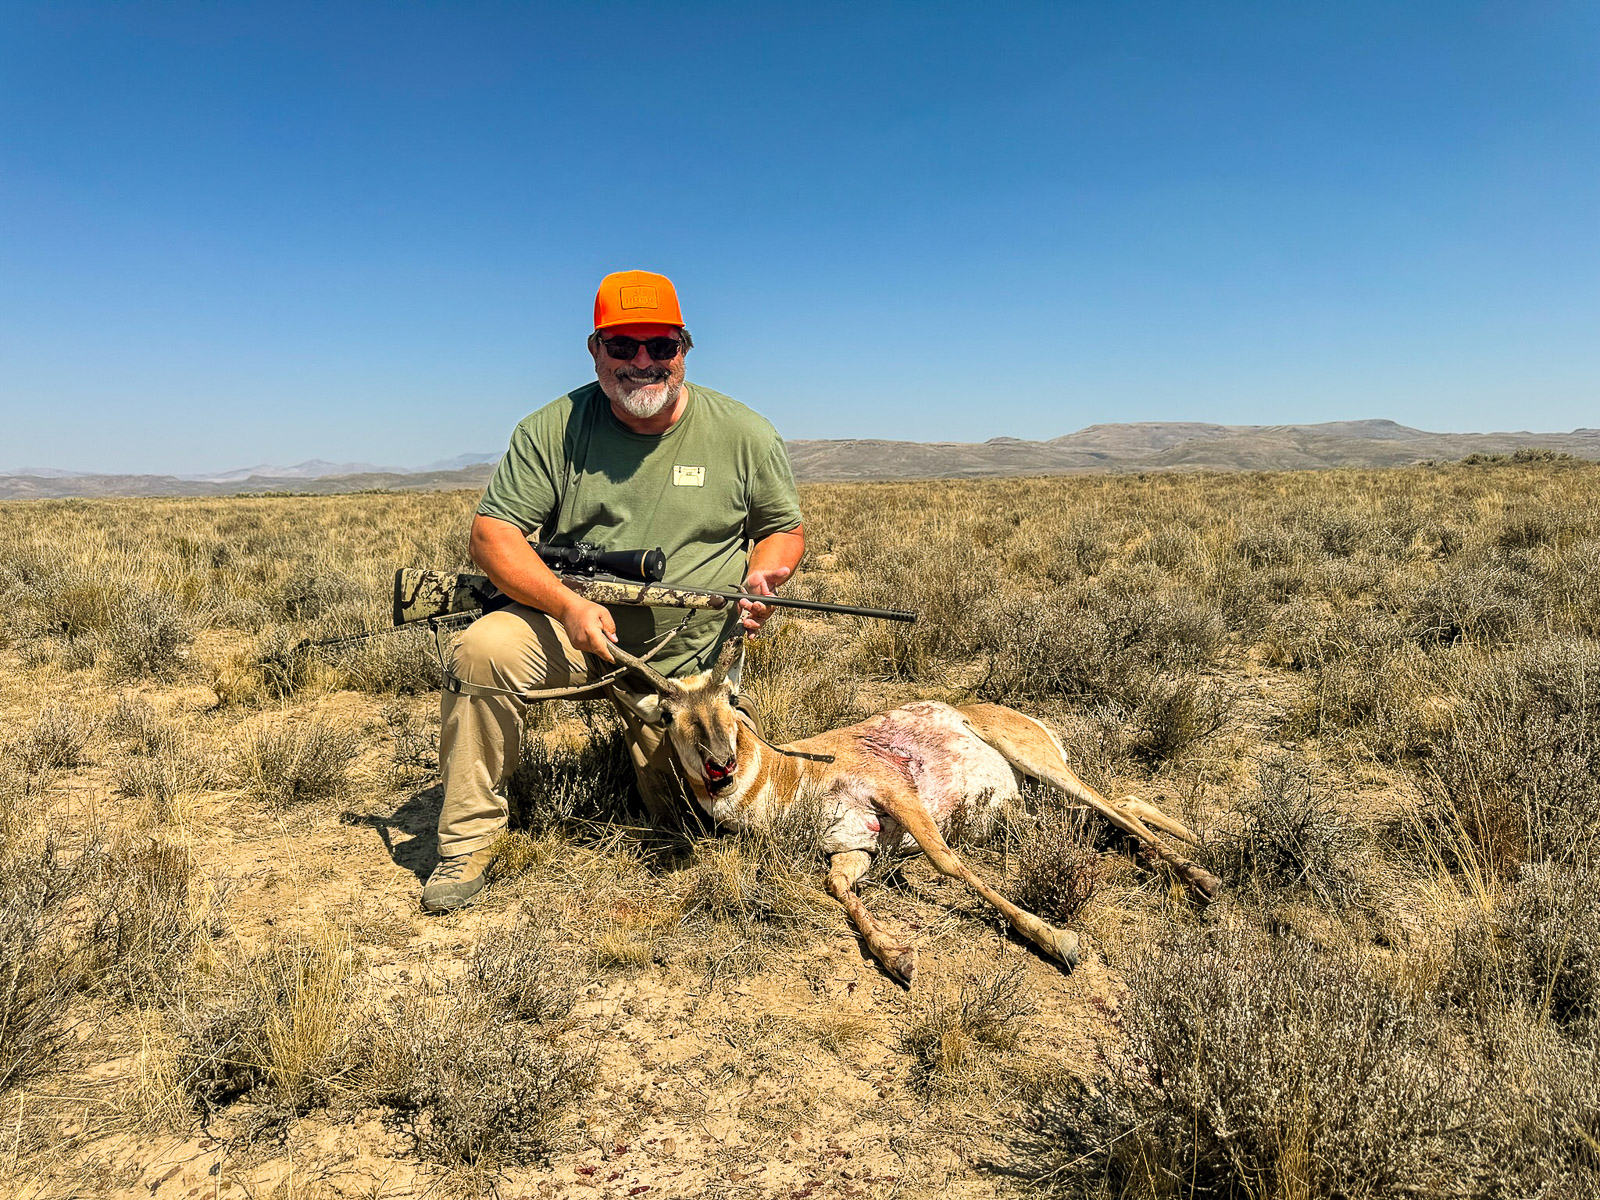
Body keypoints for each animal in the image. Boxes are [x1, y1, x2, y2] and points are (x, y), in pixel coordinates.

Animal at [606, 639, 1221, 984]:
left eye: (730, 701)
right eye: (667, 715)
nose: (721, 763)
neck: (791, 775)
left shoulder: (894, 793)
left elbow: (946, 861)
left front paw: (1056, 939)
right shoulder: (855, 846)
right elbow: (838, 889)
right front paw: (896, 957)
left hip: (1040, 766)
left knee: (1113, 805)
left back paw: (1203, 875)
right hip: (1031, 809)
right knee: (1121, 805)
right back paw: (1189, 852)